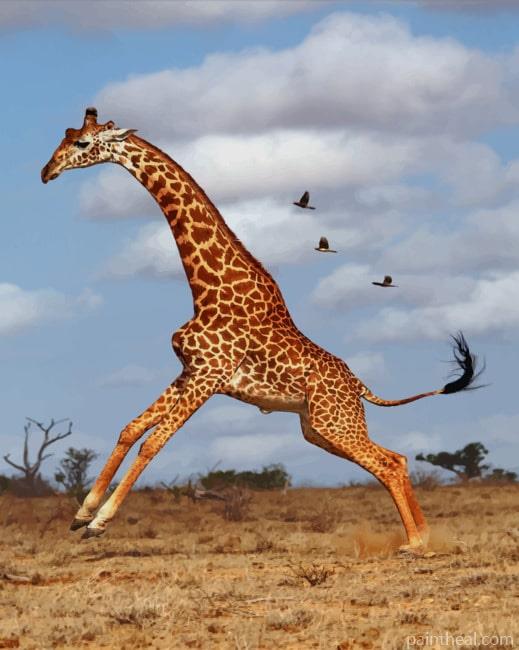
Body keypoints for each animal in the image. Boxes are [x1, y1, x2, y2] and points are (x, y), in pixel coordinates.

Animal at [41, 108, 480, 551]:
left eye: (81, 143)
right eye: (65, 135)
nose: (46, 171)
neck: (207, 288)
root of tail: (359, 386)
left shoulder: (209, 375)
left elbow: (152, 443)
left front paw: (100, 522)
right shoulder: (189, 372)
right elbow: (129, 430)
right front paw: (81, 514)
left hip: (334, 423)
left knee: (386, 463)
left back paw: (416, 543)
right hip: (317, 428)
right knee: (396, 458)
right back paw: (421, 536)